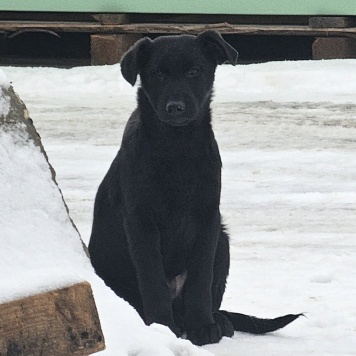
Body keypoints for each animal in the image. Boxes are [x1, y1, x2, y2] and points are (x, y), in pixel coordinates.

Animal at [87, 31, 298, 344]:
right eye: (158, 74)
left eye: (194, 71)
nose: (175, 107)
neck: (178, 148)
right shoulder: (141, 222)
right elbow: (153, 280)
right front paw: (162, 327)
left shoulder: (207, 217)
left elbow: (200, 278)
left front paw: (203, 326)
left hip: (223, 241)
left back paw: (217, 320)